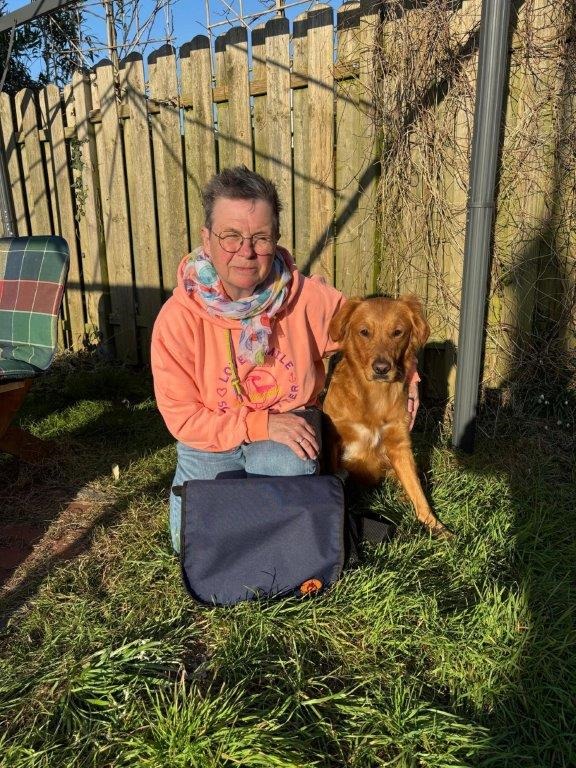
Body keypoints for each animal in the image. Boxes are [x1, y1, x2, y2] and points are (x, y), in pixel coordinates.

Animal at [323, 295, 450, 538]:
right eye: (364, 332)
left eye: (397, 332)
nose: (381, 368)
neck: (374, 396)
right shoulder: (334, 441)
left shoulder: (400, 445)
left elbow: (418, 492)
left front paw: (437, 527)